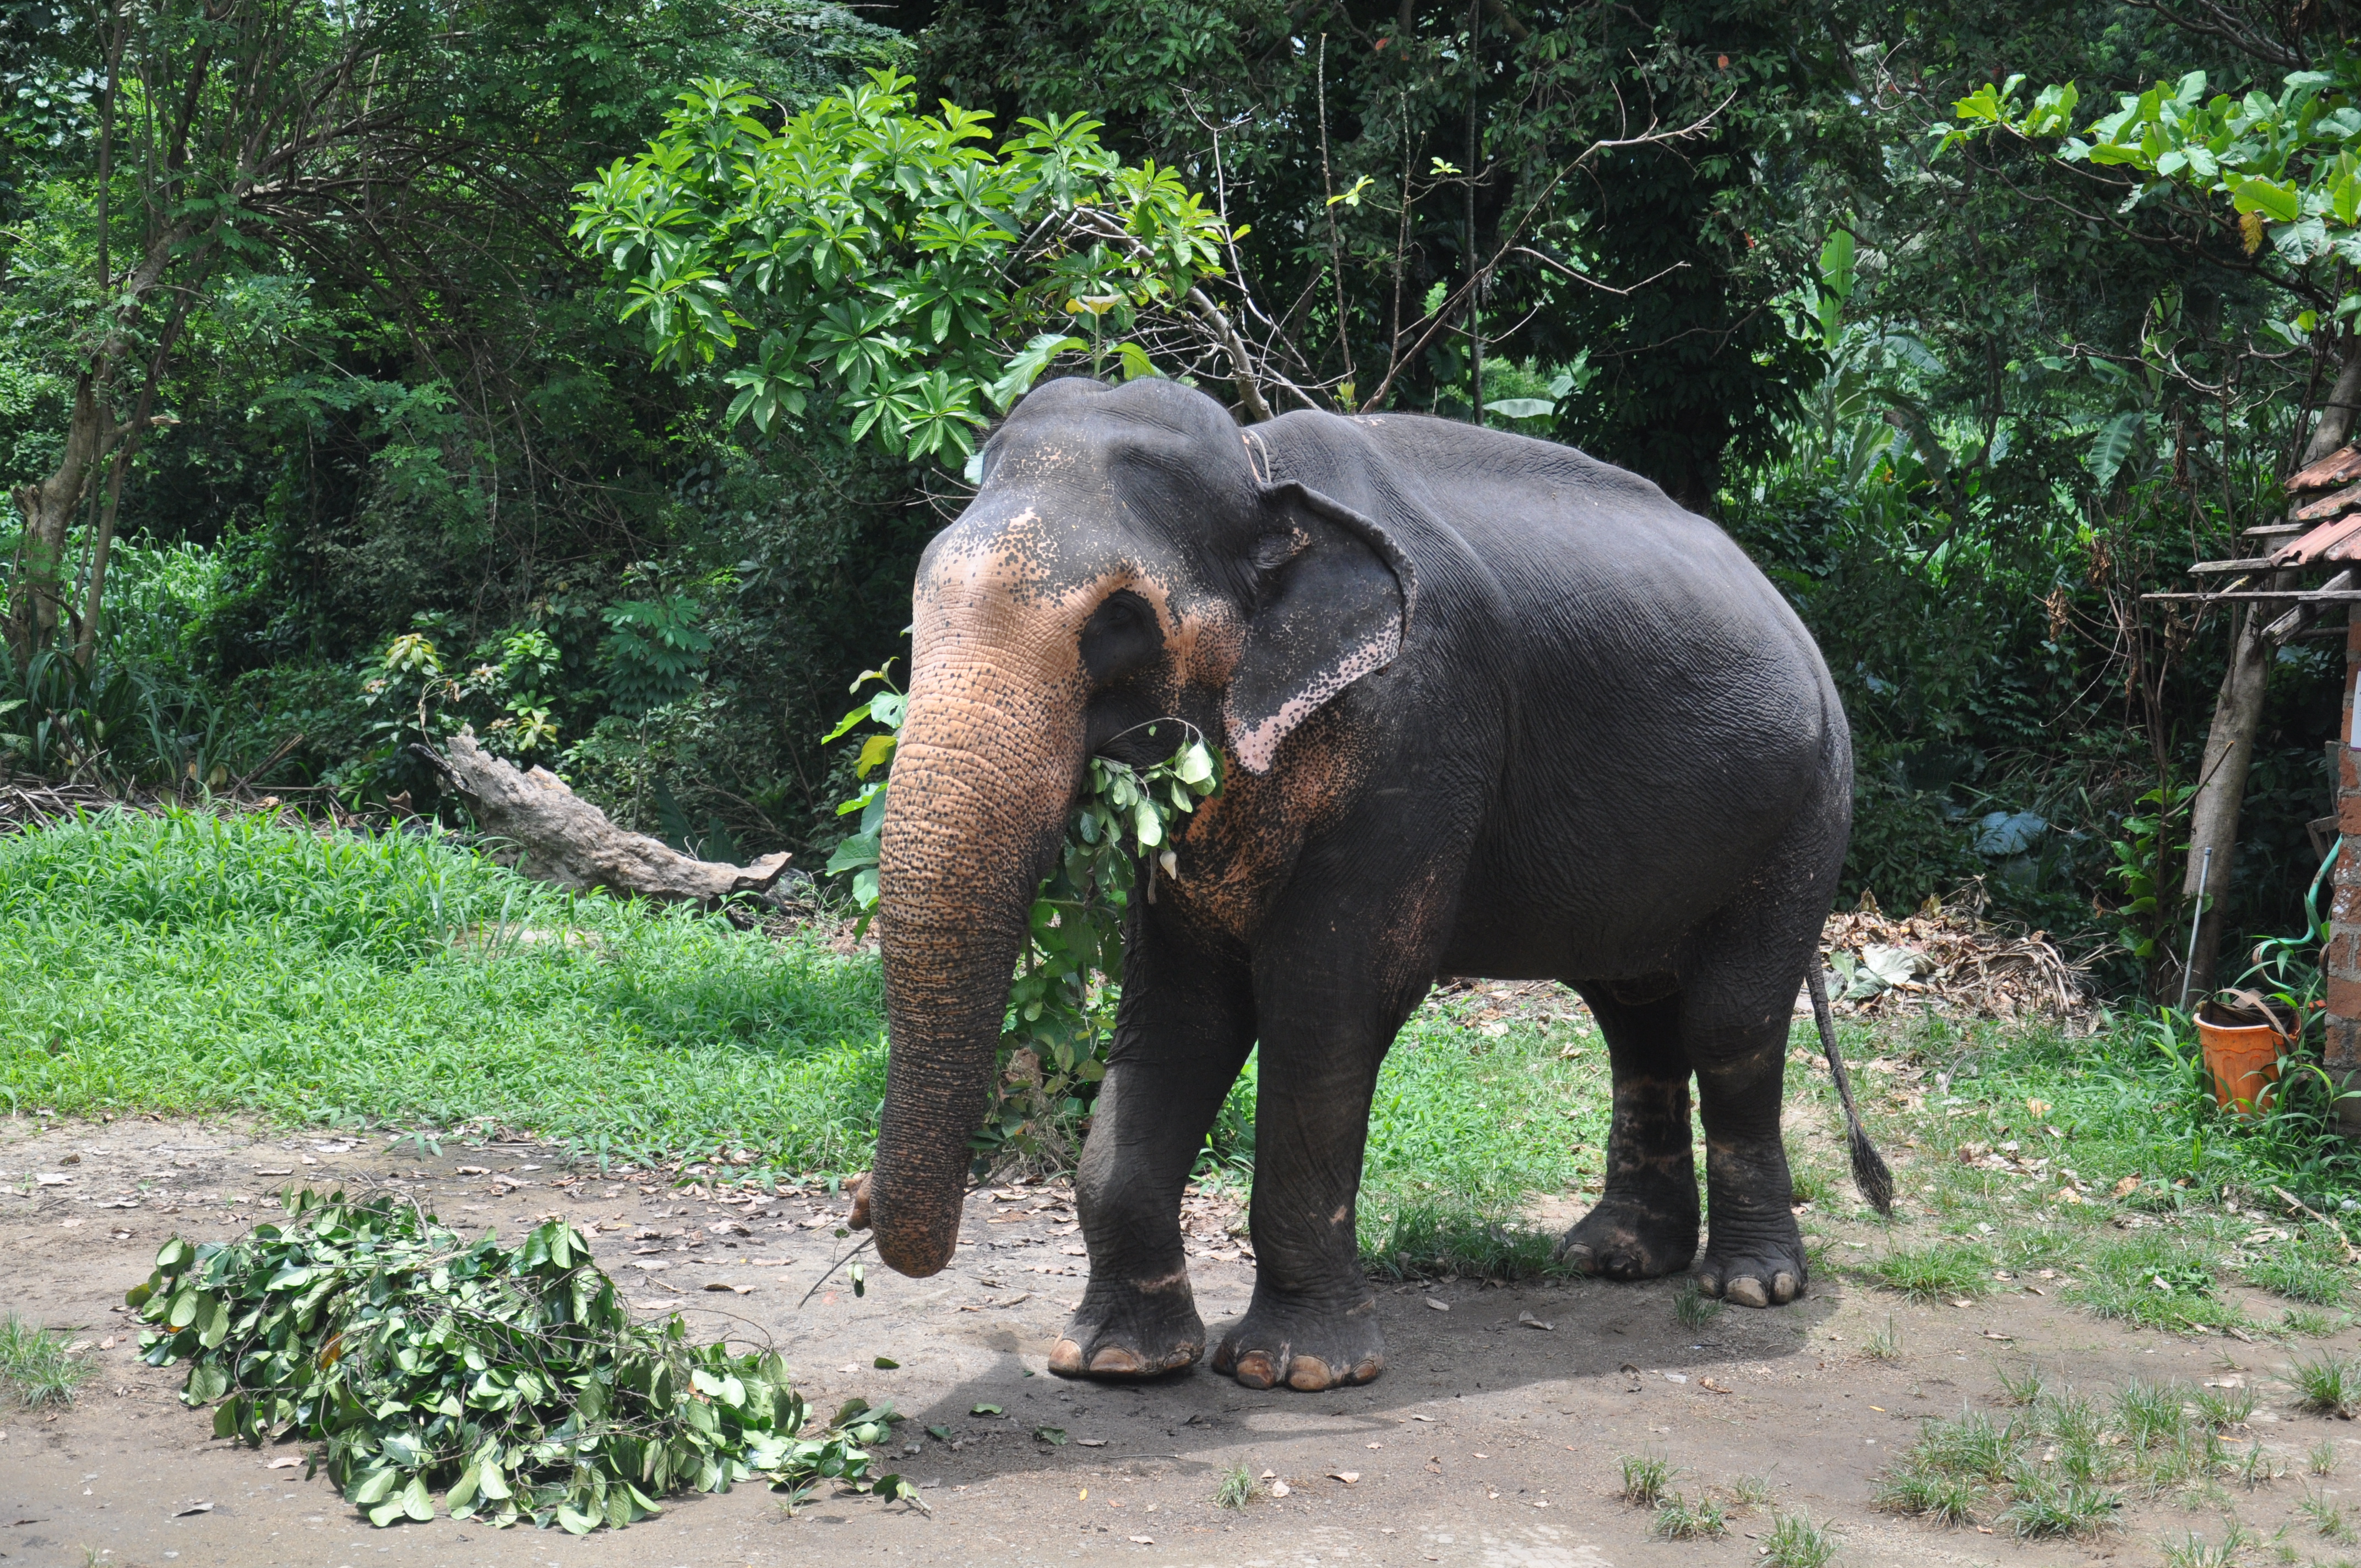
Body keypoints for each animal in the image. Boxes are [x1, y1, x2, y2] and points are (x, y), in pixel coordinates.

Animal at [851, 374, 1891, 1394]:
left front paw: (1296, 1370)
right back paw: (1614, 1257)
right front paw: (1116, 1361)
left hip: (1808, 808)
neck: (1260, 469)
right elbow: (1180, 1005)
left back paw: (1750, 1285)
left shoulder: (1421, 728)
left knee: (1728, 1019)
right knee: (1633, 1014)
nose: (859, 1210)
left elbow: (1330, 996)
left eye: (1120, 617)